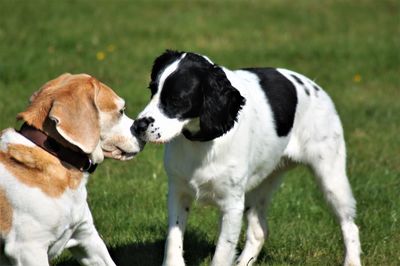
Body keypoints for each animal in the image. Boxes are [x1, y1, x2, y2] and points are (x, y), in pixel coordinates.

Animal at [133, 50, 360, 266]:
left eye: (176, 99)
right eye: (152, 90)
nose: (138, 126)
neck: (203, 141)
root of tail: (315, 86)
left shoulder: (232, 204)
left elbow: (222, 253)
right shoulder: (177, 192)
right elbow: (173, 241)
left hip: (331, 176)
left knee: (350, 224)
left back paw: (351, 260)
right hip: (262, 183)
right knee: (260, 230)